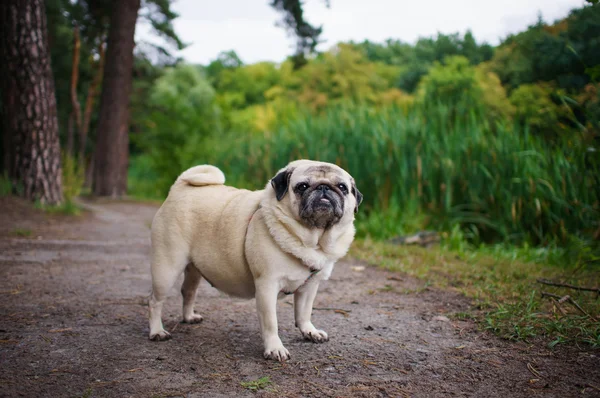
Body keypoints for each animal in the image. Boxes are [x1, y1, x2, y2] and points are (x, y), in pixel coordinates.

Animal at [148, 159, 364, 360]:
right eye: (302, 186)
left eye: (342, 187)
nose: (324, 187)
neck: (314, 241)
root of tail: (180, 187)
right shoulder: (267, 285)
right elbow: (271, 323)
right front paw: (275, 348)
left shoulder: (309, 286)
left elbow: (304, 313)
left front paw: (309, 331)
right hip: (167, 267)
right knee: (155, 300)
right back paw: (157, 331)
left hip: (194, 268)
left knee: (188, 291)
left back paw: (189, 317)